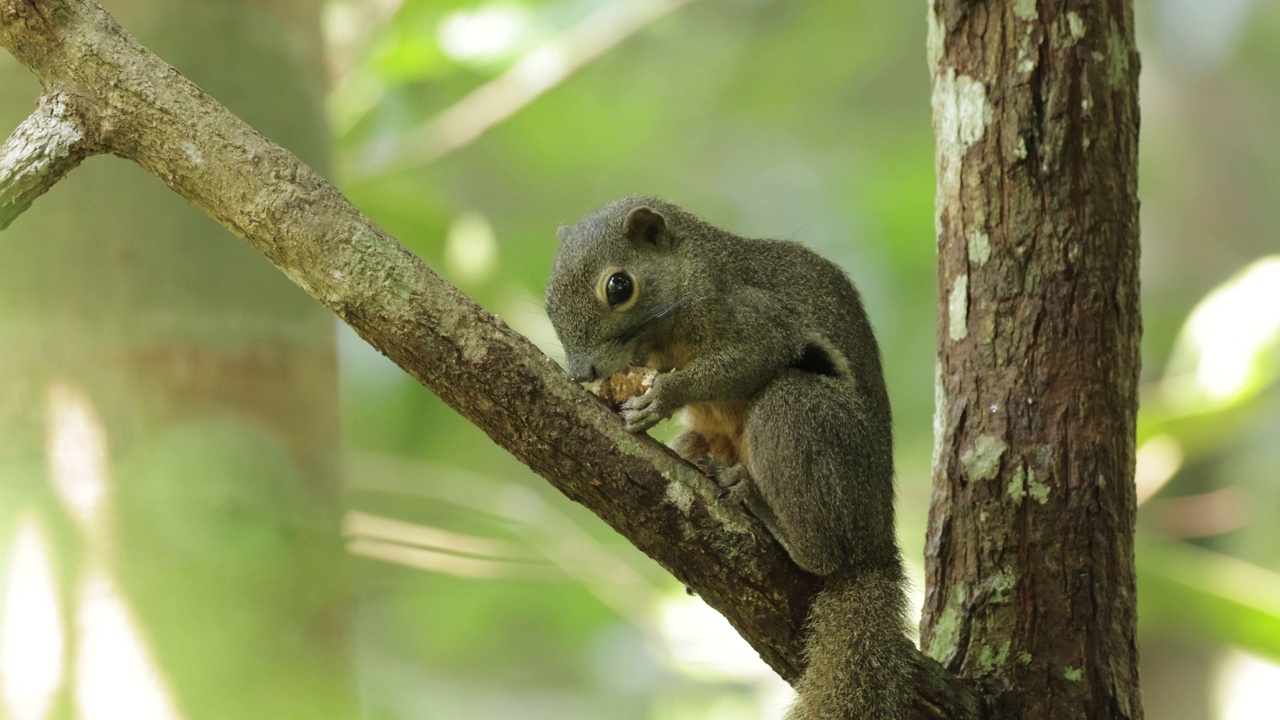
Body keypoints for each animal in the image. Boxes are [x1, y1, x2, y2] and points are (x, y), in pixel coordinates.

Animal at [545, 196, 916, 717]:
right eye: (548, 296)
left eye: (619, 287)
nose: (582, 373)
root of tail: (877, 541)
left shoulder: (756, 319)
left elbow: (747, 358)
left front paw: (662, 397)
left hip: (797, 414)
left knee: (824, 557)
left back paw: (759, 505)